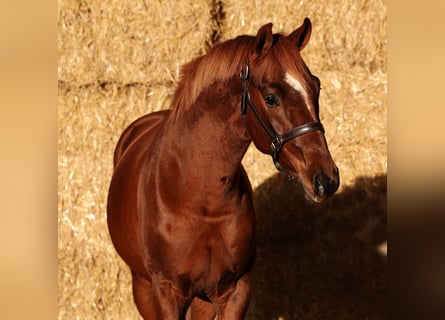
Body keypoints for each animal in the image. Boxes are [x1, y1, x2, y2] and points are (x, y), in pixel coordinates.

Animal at [106, 18, 338, 320]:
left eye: (316, 87)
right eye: (271, 97)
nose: (326, 179)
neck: (200, 199)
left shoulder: (235, 290)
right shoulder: (167, 292)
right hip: (143, 287)